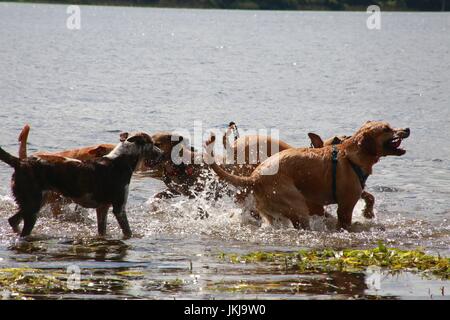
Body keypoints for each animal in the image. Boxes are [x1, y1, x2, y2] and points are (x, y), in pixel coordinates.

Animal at [0, 131, 162, 239]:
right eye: (152, 144)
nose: (161, 154)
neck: (120, 161)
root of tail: (20, 162)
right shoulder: (119, 208)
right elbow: (127, 232)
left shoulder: (102, 208)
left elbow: (102, 231)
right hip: (33, 205)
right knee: (21, 229)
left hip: (35, 202)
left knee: (12, 220)